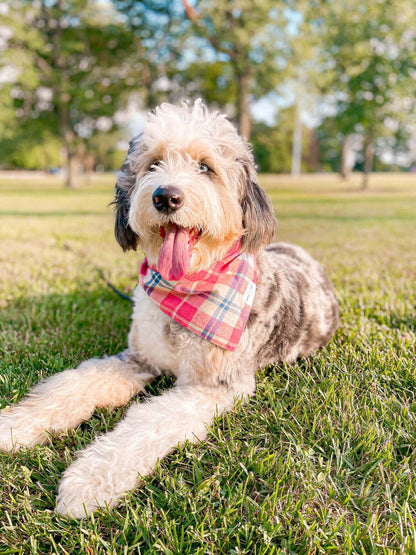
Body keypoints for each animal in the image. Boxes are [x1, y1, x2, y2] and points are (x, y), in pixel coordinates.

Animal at [0, 99, 338, 516]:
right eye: (153, 164)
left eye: (205, 167)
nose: (165, 197)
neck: (187, 289)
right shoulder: (137, 358)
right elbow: (73, 385)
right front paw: (17, 425)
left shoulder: (213, 386)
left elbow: (150, 420)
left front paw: (90, 480)